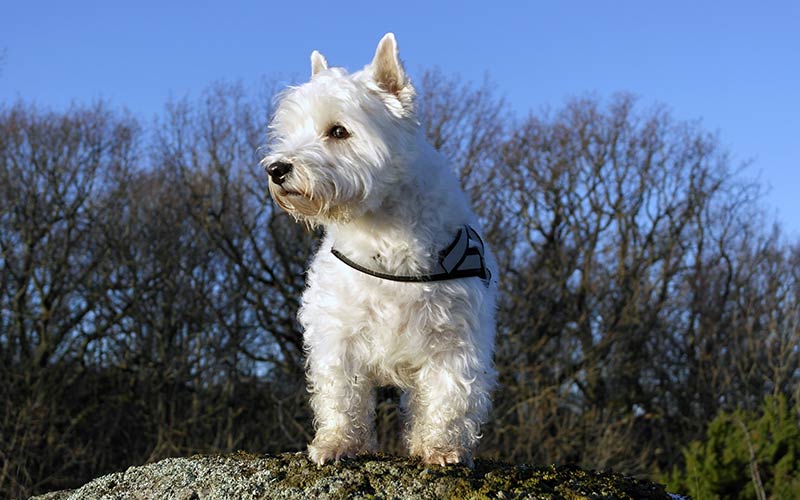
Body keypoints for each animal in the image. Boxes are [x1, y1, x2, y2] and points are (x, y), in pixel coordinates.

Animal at [262, 33, 496, 466]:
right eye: (291, 130)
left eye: (338, 131)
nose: (276, 169)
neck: (382, 232)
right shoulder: (339, 336)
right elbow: (342, 397)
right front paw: (337, 444)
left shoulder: (453, 340)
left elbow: (449, 397)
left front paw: (441, 448)